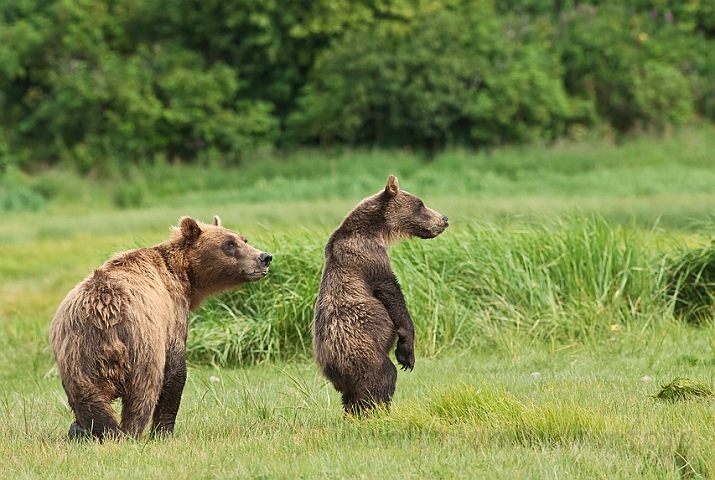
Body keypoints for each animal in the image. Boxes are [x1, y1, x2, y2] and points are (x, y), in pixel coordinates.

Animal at [47, 216, 272, 440]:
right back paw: (130, 433)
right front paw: (164, 431)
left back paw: (96, 431)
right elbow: (175, 372)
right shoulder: (172, 316)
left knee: (87, 398)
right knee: (142, 394)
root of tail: (105, 315)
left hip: (77, 352)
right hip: (142, 347)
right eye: (229, 244)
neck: (185, 277)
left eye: (243, 239)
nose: (265, 257)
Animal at [314, 174, 448, 414]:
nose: (444, 218)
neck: (376, 230)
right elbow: (391, 293)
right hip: (361, 350)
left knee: (352, 396)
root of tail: (330, 368)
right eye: (420, 204)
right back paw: (379, 411)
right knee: (382, 377)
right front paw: (407, 354)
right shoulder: (368, 257)